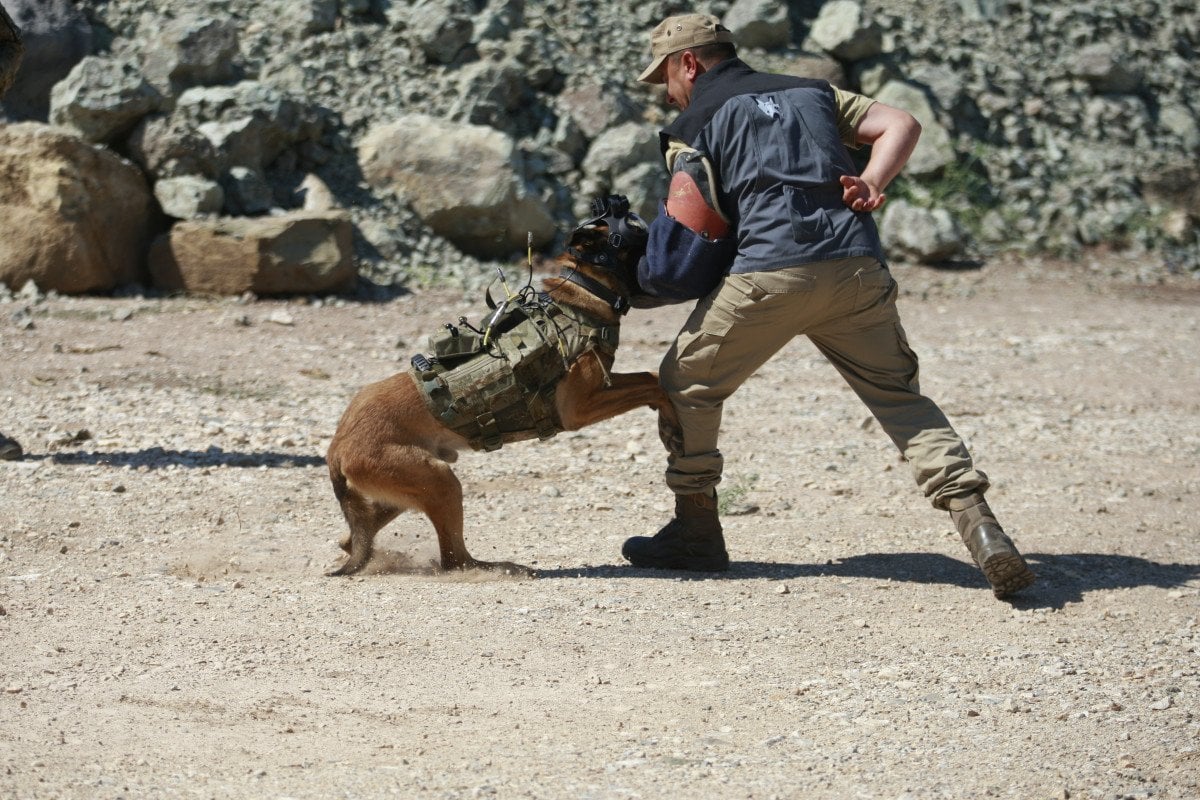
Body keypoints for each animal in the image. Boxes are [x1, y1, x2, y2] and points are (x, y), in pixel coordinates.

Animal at [324, 196, 672, 578]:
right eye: (625, 221)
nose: (622, 200)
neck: (581, 295)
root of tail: (337, 447)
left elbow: (646, 377)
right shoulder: (579, 409)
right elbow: (651, 382)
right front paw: (669, 407)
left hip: (414, 484)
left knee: (361, 535)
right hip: (441, 481)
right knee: (454, 560)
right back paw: (500, 567)